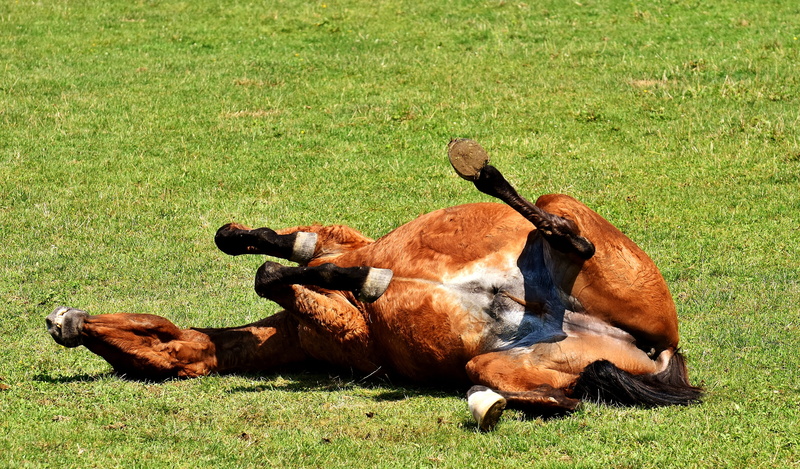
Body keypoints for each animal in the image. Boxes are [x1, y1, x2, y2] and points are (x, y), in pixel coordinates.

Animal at [47, 139, 702, 430]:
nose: (63, 323)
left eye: (144, 343)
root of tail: (665, 348)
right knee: (562, 398)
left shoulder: (345, 263)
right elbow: (275, 253)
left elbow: (279, 264)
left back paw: (479, 173)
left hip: (562, 207)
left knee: (569, 235)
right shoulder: (341, 266)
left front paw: (343, 274)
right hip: (504, 362)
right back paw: (486, 404)